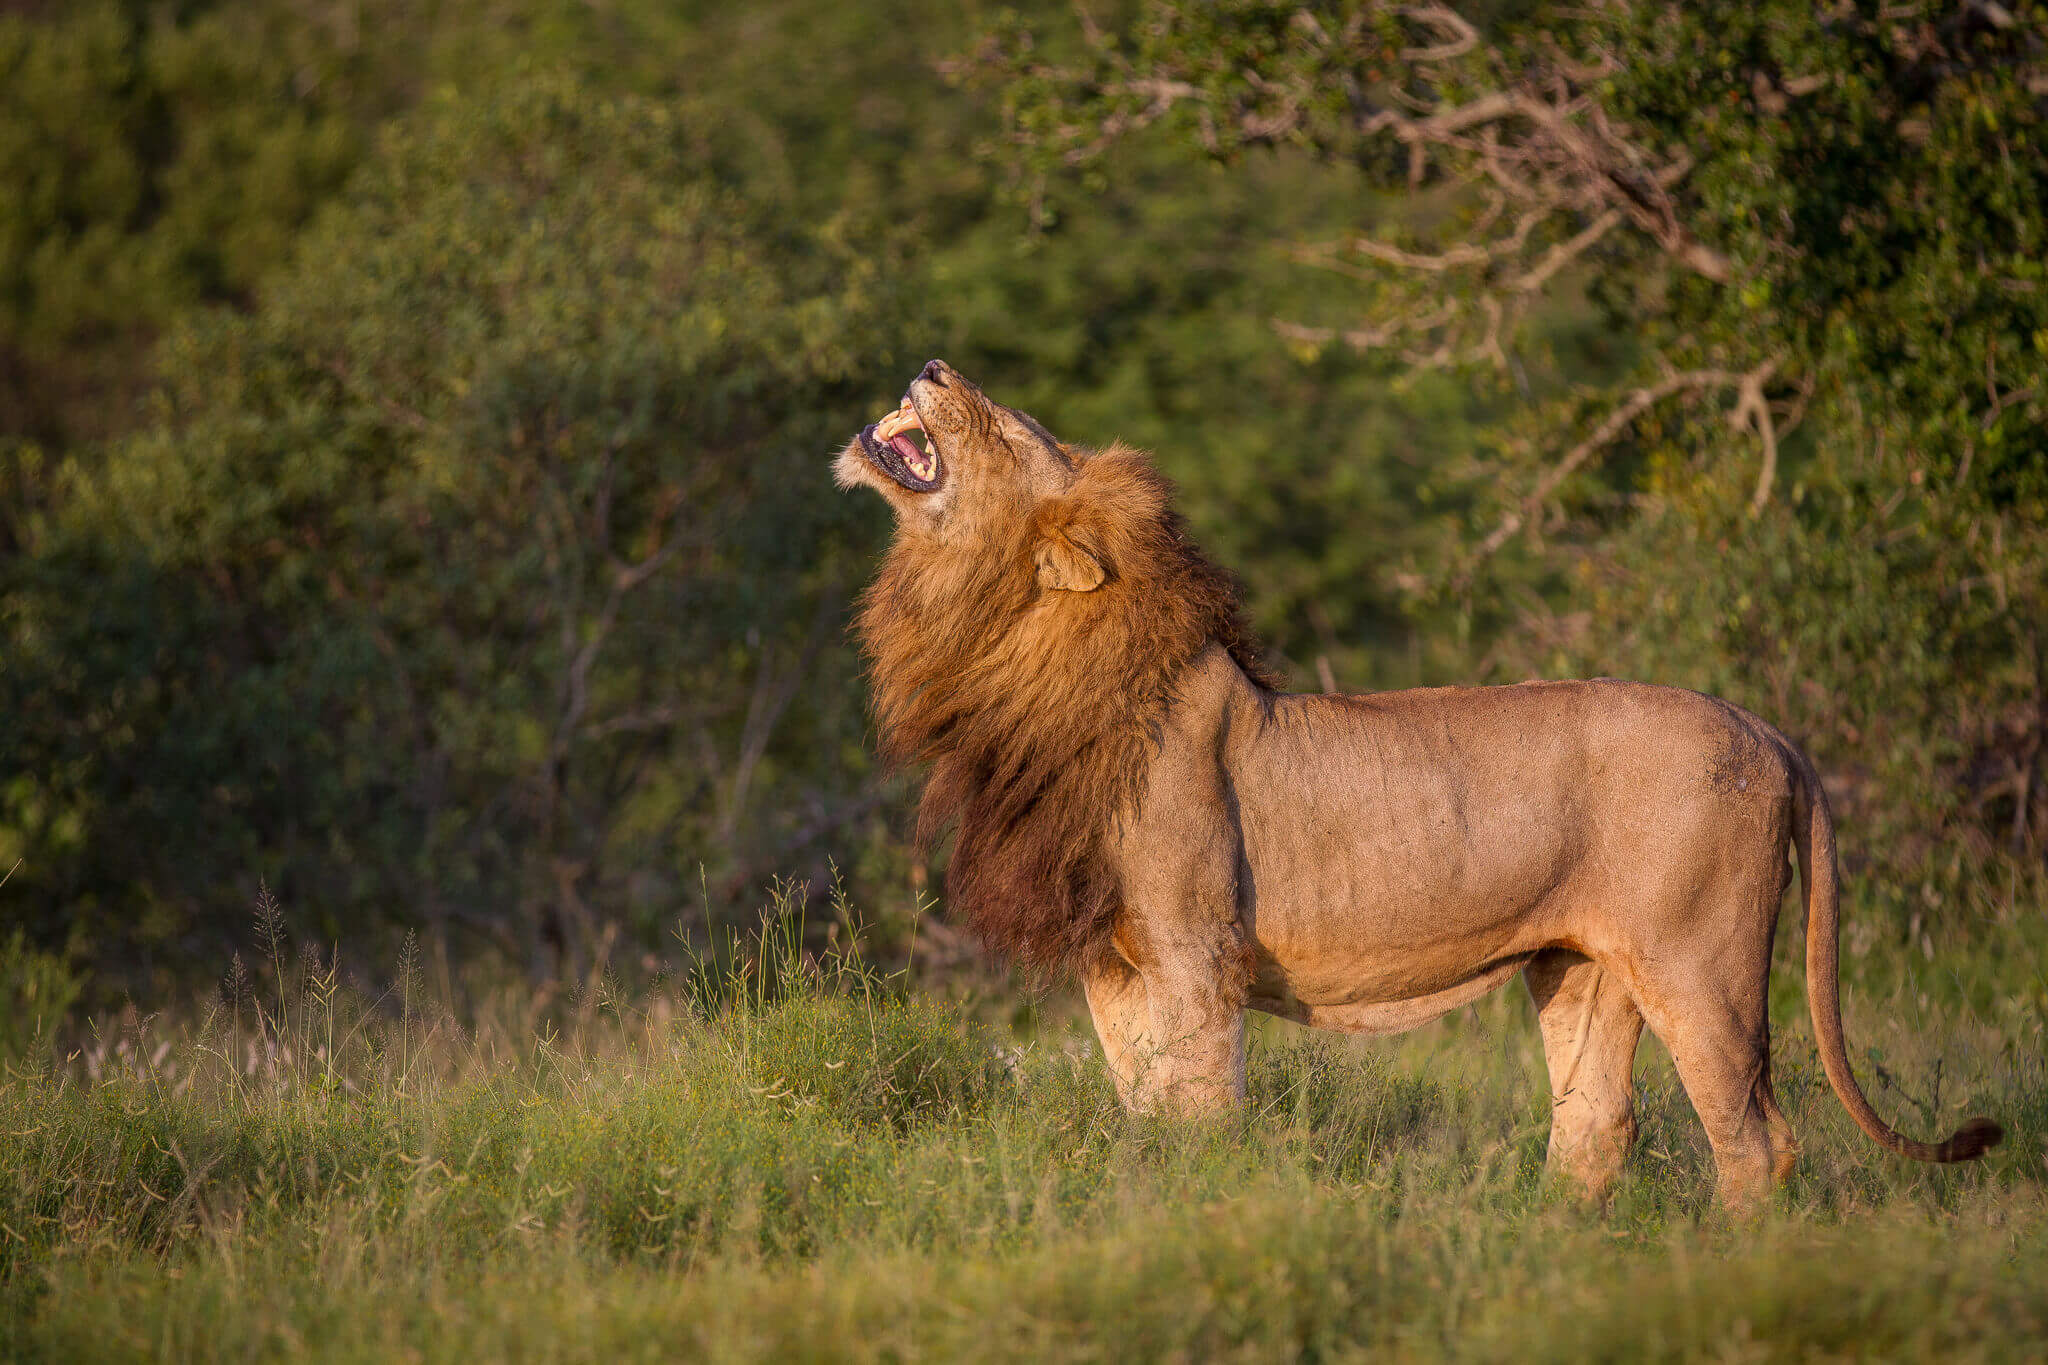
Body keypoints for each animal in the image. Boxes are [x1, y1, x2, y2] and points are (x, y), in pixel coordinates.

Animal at [835, 356, 1998, 1203]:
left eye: (1009, 429)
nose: (932, 363)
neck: (1004, 644)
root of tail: (1766, 728)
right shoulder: (1113, 965)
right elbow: (1145, 1115)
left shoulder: (1194, 952)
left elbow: (1201, 1112)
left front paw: (1198, 1212)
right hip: (1583, 967)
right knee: (1593, 1128)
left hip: (1700, 961)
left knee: (1754, 1140)